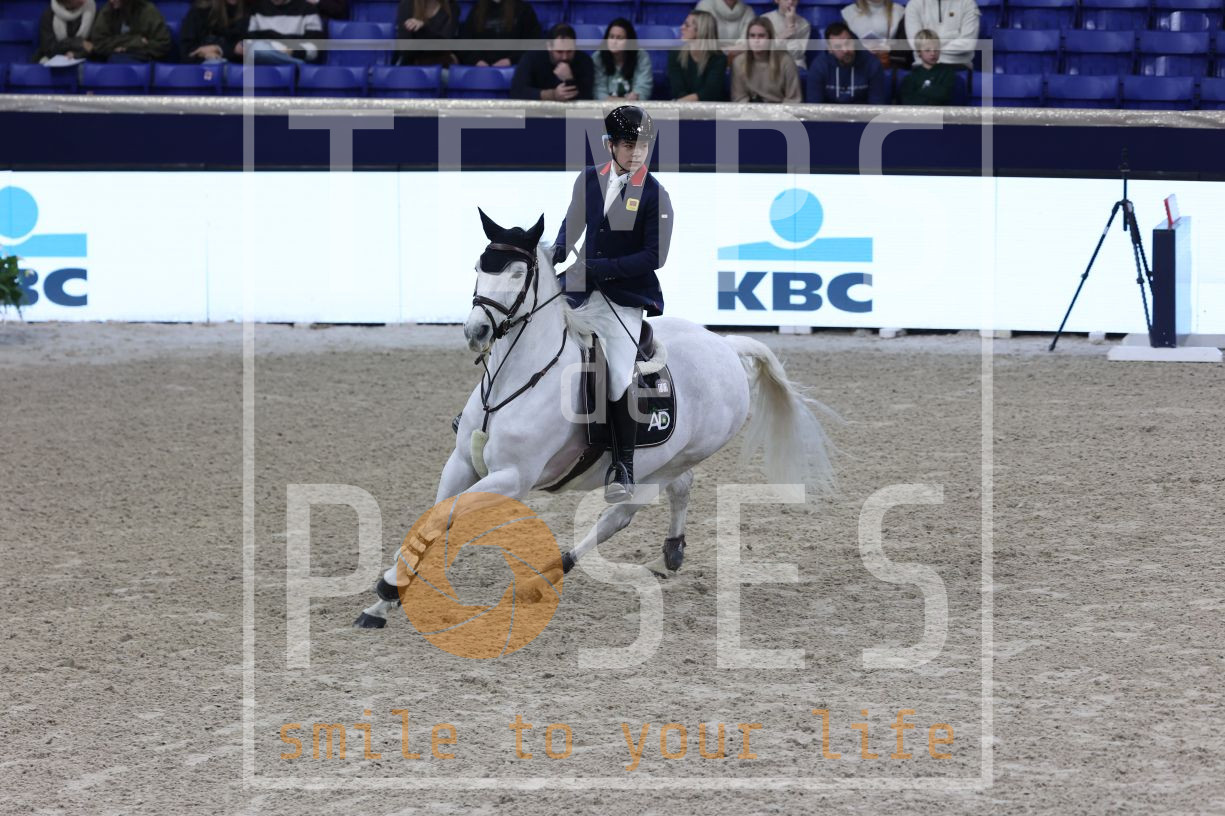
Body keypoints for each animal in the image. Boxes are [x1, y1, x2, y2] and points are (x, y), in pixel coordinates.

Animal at [353, 211, 834, 629]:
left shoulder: (512, 477)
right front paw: (386, 599)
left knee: (622, 514)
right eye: (478, 267)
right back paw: (670, 553)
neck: (518, 376)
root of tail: (726, 346)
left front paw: (390, 588)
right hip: (665, 458)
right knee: (681, 488)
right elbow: (433, 519)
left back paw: (549, 573)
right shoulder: (461, 464)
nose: (477, 332)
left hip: (668, 462)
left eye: (517, 274)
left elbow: (443, 518)